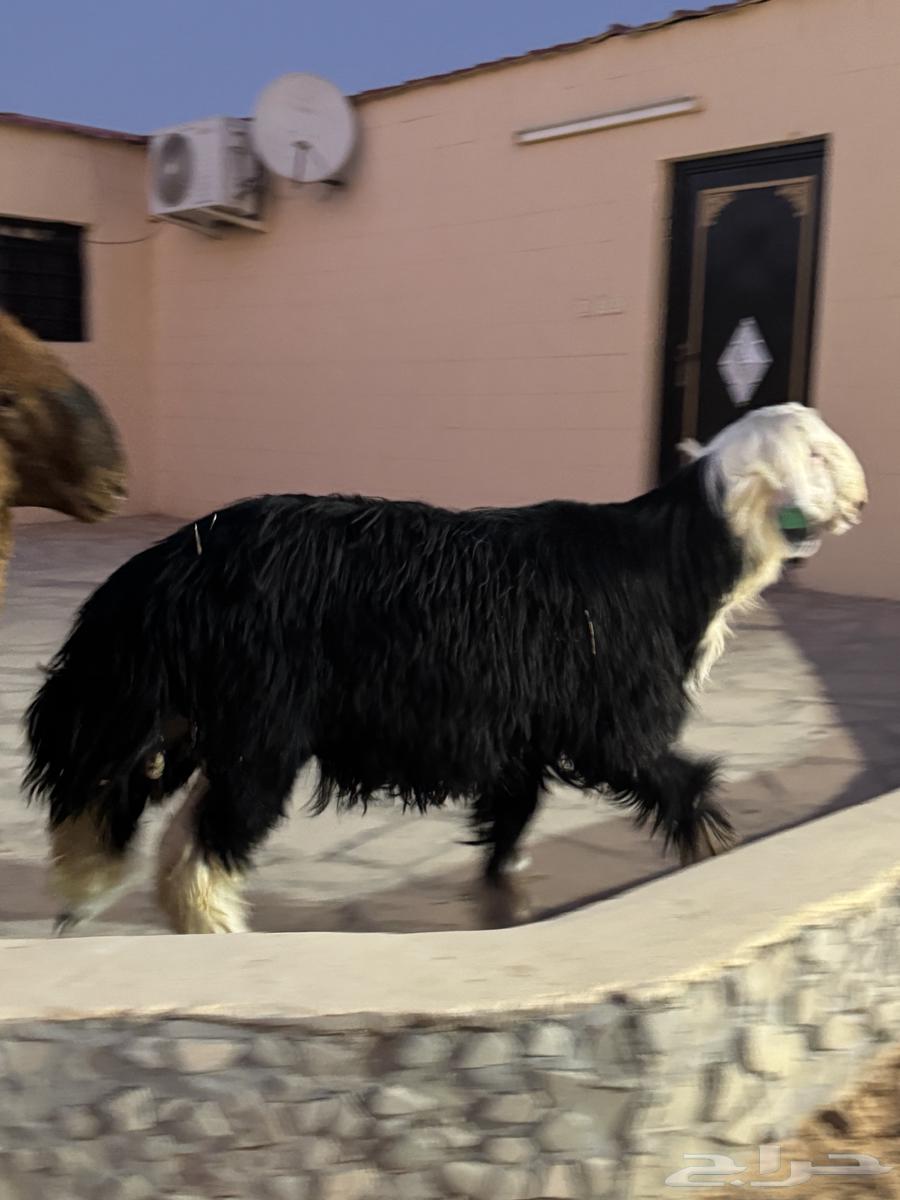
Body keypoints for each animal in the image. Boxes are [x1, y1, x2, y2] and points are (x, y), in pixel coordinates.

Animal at [24, 402, 866, 935]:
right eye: (819, 454)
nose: (860, 501)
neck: (669, 560)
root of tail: (168, 566)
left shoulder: (525, 733)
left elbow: (512, 819)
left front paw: (504, 893)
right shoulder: (615, 727)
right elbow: (684, 785)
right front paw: (716, 856)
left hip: (177, 711)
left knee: (116, 801)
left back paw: (84, 894)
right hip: (256, 724)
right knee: (201, 844)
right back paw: (210, 925)